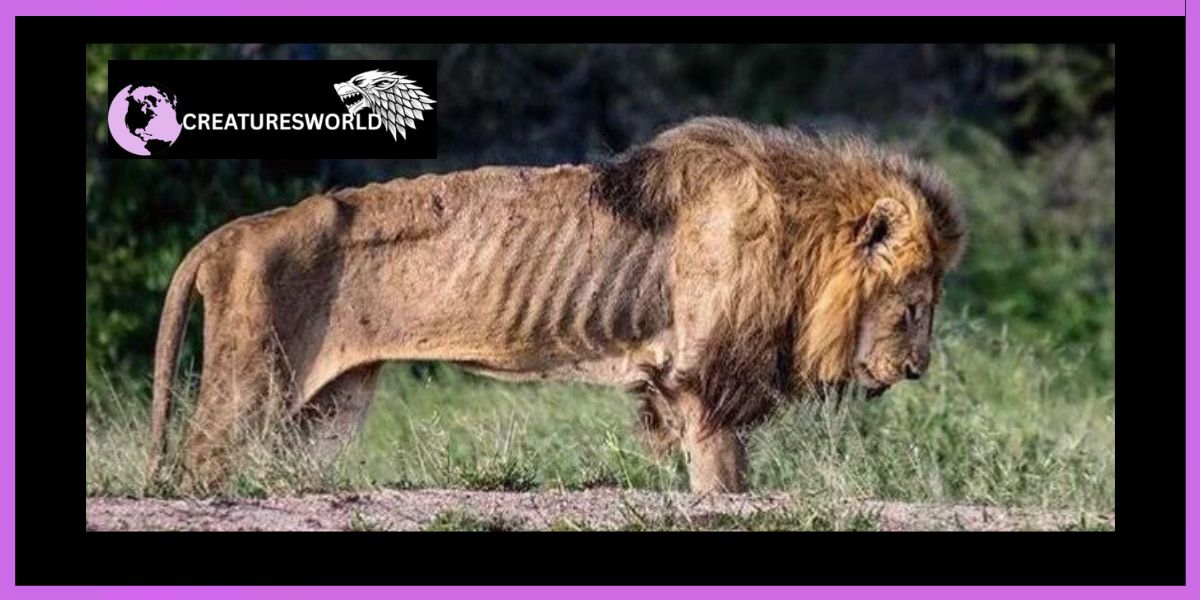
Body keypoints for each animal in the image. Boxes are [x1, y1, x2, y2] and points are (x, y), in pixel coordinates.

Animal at [147, 116, 965, 494]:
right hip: (251, 386)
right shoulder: (706, 381)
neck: (800, 236)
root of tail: (230, 233)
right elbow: (724, 480)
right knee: (198, 465)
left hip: (325, 409)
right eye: (913, 306)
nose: (919, 370)